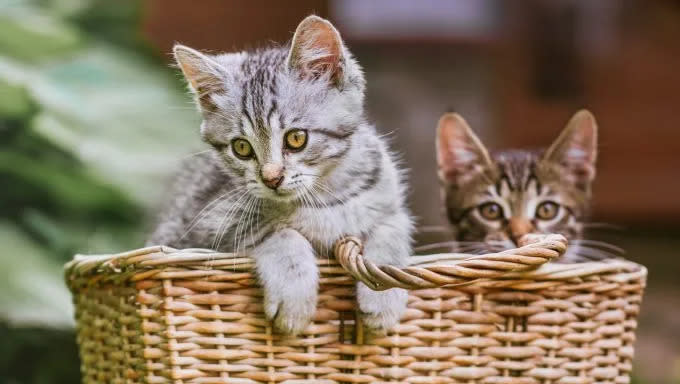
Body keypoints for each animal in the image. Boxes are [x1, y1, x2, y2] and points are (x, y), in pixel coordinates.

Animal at [149, 15, 412, 332]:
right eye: (241, 147)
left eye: (296, 138)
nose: (271, 178)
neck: (324, 197)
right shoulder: (204, 225)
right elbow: (279, 231)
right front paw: (294, 292)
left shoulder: (389, 200)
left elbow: (392, 228)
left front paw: (383, 291)